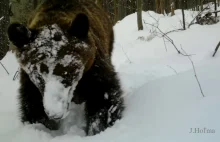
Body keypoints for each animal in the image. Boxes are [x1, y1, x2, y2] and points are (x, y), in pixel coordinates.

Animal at [7, 0, 124, 135]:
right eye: (38, 75)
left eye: (70, 71)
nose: (55, 113)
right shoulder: (30, 82)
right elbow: (33, 108)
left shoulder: (92, 69)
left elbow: (103, 98)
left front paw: (98, 128)